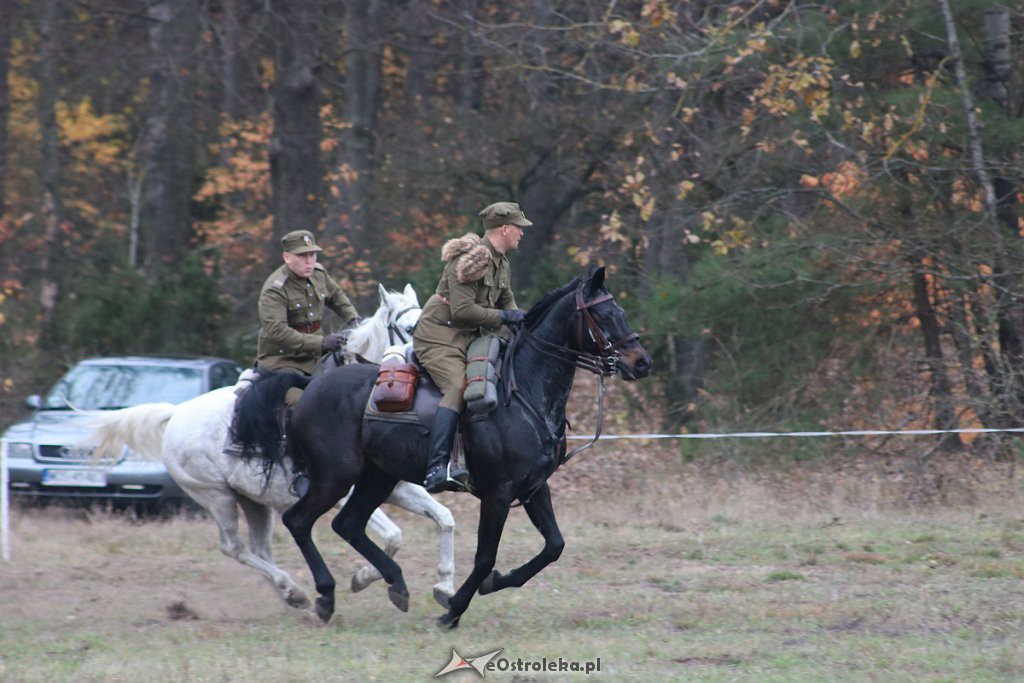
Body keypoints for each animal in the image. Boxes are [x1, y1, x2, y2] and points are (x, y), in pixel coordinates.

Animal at [88, 282, 456, 610]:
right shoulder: (342, 493)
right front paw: (365, 578)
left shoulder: (396, 488)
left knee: (260, 548)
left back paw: (294, 595)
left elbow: (442, 520)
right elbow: (392, 534)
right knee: (235, 548)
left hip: (253, 502)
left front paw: (442, 586)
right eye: (409, 328)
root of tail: (176, 412)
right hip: (217, 497)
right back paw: (292, 591)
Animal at [234, 264, 647, 626]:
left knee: (347, 525)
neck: (523, 392)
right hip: (335, 477)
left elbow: (553, 546)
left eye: (621, 311)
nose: (642, 362)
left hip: (377, 477)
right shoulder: (498, 494)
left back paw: (394, 584)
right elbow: (484, 556)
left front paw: (496, 583)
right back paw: (324, 595)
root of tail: (310, 386)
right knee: (298, 521)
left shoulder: (533, 488)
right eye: (603, 314)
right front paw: (454, 609)